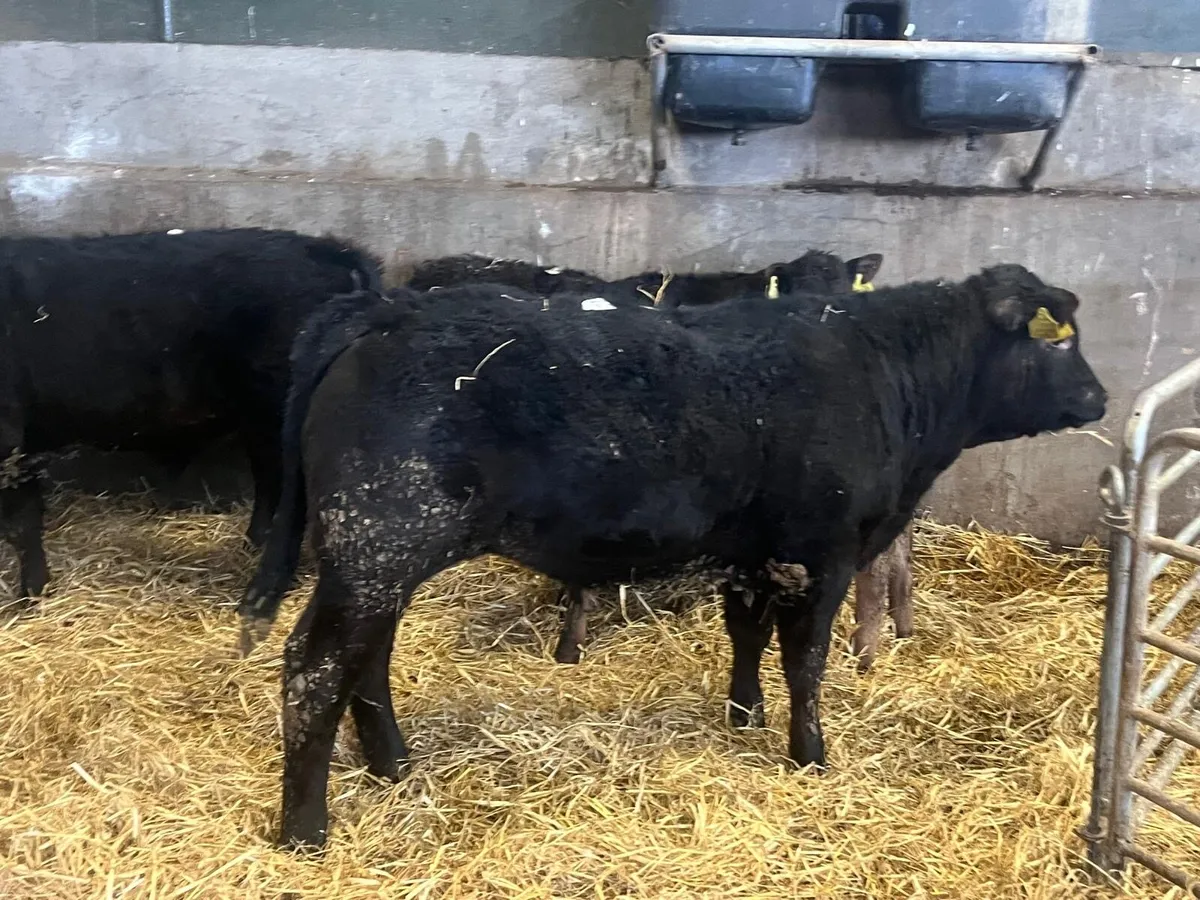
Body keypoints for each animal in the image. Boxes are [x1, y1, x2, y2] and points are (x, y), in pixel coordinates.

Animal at [0, 227, 381, 606]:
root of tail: (332, 251)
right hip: (259, 418)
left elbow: (22, 522)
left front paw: (31, 596)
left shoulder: (10, 441)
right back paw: (253, 544)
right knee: (269, 477)